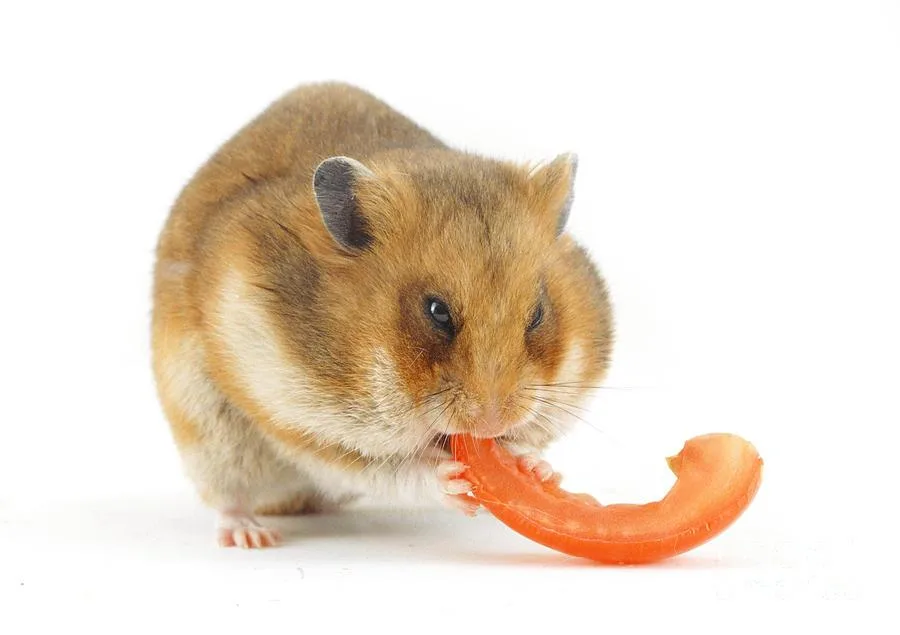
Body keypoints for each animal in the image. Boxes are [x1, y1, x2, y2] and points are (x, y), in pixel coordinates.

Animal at [151, 82, 614, 548]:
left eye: (537, 314)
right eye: (436, 312)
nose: (489, 426)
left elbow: (531, 442)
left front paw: (536, 467)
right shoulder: (302, 422)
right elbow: (388, 469)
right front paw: (451, 480)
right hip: (209, 431)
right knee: (229, 496)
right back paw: (252, 537)